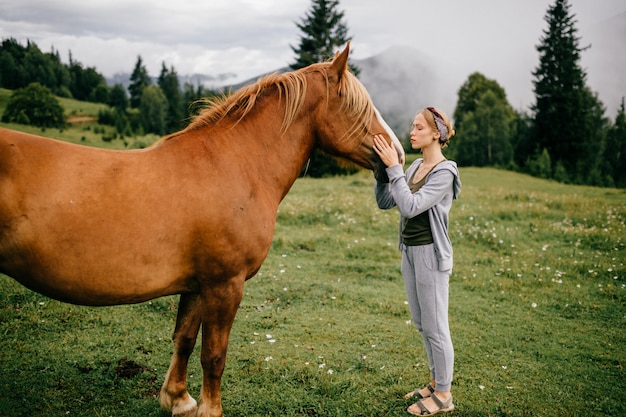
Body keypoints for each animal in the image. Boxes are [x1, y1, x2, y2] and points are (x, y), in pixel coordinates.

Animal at [0, 43, 400, 416]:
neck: (233, 165)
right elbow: (214, 354)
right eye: (355, 105)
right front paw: (211, 409)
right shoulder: (225, 284)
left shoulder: (197, 285)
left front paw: (179, 399)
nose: (395, 152)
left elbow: (185, 340)